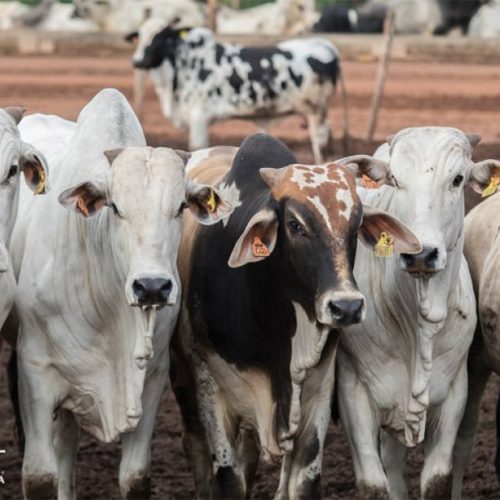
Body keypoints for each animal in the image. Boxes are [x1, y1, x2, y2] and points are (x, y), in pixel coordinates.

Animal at [129, 22, 348, 162]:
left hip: (315, 112)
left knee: (320, 144)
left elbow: (197, 148)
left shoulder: (199, 116)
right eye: (140, 36)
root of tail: (325, 45)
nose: (138, 61)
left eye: (161, 37)